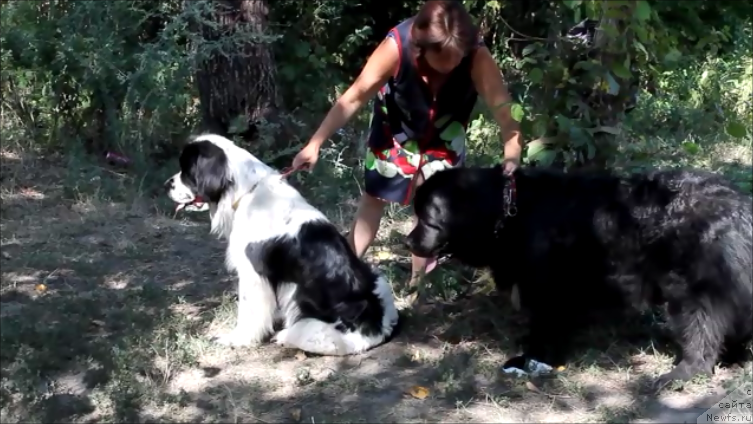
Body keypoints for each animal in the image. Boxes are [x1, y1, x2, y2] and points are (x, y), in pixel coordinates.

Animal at [164, 135, 400, 354]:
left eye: (187, 171)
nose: (167, 184)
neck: (248, 192)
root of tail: (376, 328)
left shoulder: (252, 273)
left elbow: (248, 311)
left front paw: (236, 339)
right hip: (377, 277)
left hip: (315, 320)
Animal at [406, 165, 752, 390]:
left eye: (426, 219)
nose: (408, 241)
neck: (508, 211)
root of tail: (741, 208)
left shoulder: (545, 287)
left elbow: (544, 326)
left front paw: (529, 359)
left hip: (693, 287)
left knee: (702, 330)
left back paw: (680, 375)